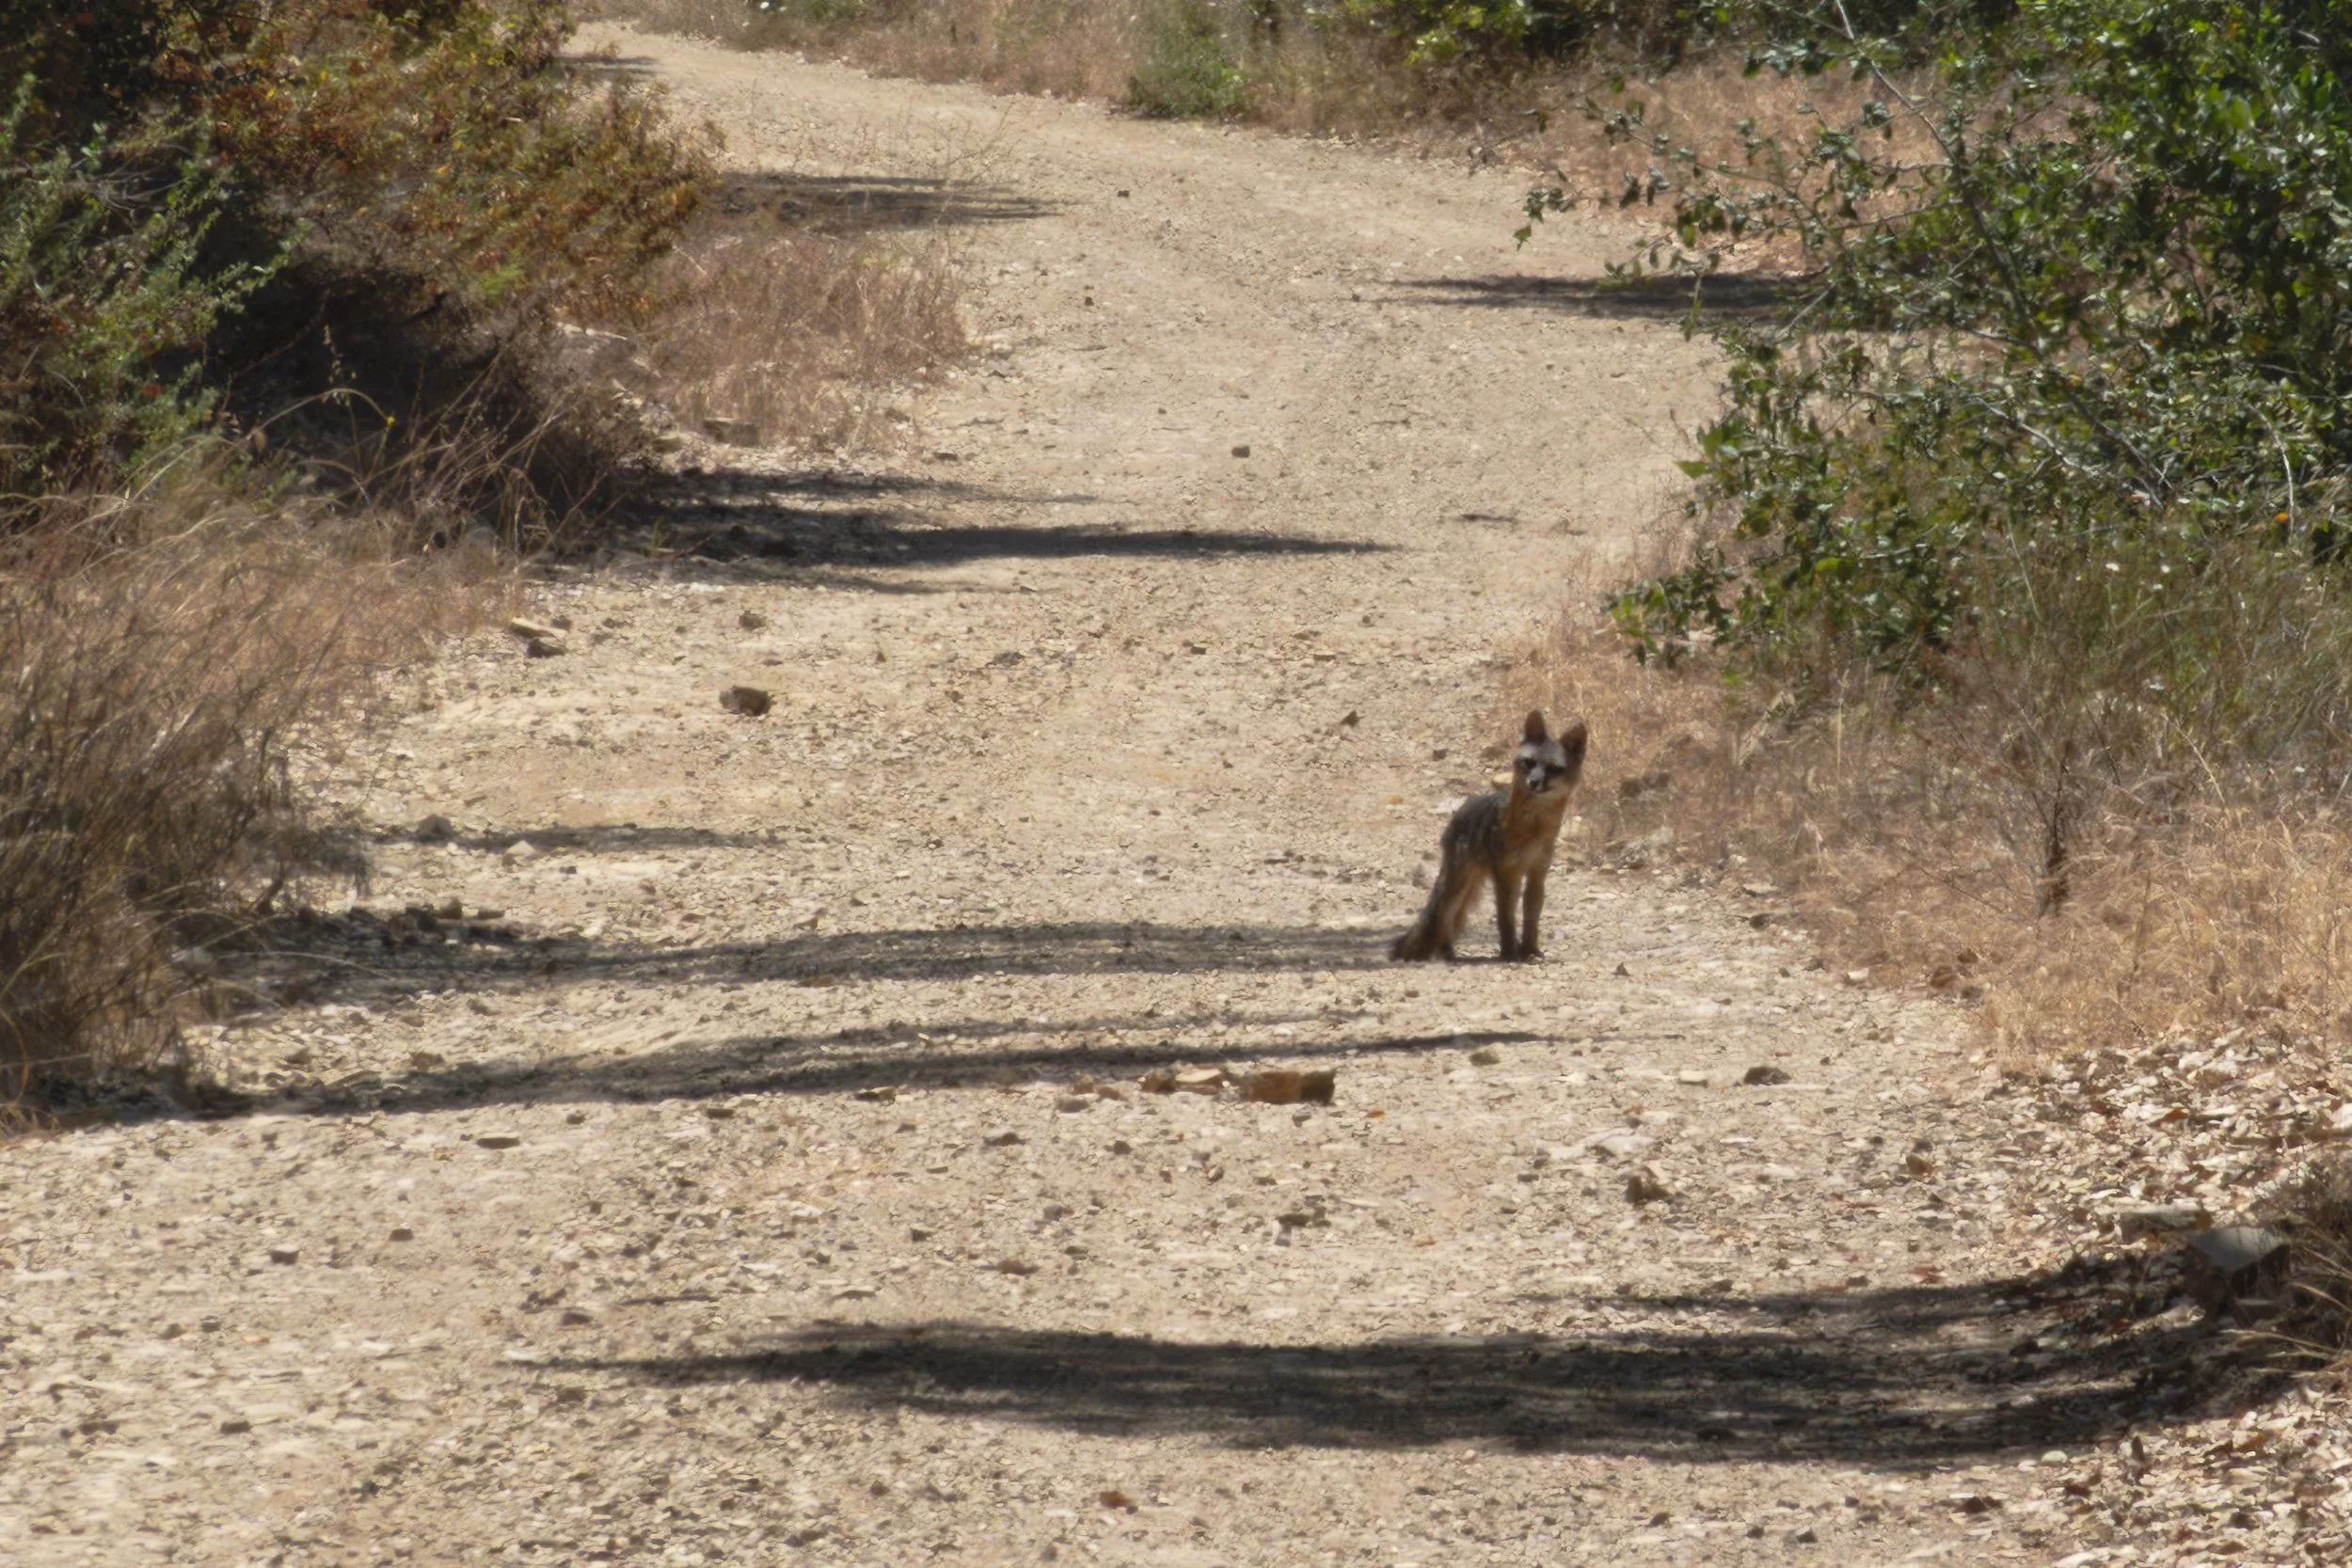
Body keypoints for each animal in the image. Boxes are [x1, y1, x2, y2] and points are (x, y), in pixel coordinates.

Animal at [1390, 710, 1588, 963]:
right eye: (1529, 763)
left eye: (1553, 769)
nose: (1533, 782)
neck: (1532, 828)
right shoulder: (1506, 874)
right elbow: (1506, 918)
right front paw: (1510, 952)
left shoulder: (1537, 873)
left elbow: (1531, 920)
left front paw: (1530, 949)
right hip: (1457, 886)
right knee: (1443, 917)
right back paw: (1446, 952)